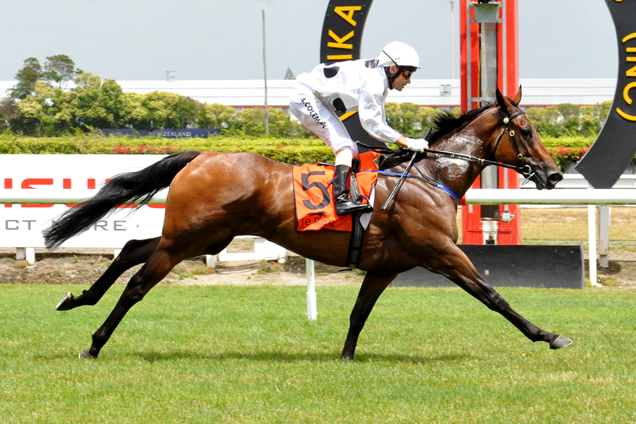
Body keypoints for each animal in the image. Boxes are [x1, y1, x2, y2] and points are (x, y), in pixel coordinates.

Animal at [44, 88, 572, 360]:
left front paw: (345, 358)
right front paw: (549, 335)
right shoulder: (441, 252)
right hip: (190, 238)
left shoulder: (386, 266)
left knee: (132, 246)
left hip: (204, 235)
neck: (430, 177)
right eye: (527, 130)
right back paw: (94, 344)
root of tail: (203, 155)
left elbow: (360, 313)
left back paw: (77, 298)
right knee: (137, 283)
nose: (554, 174)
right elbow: (494, 296)